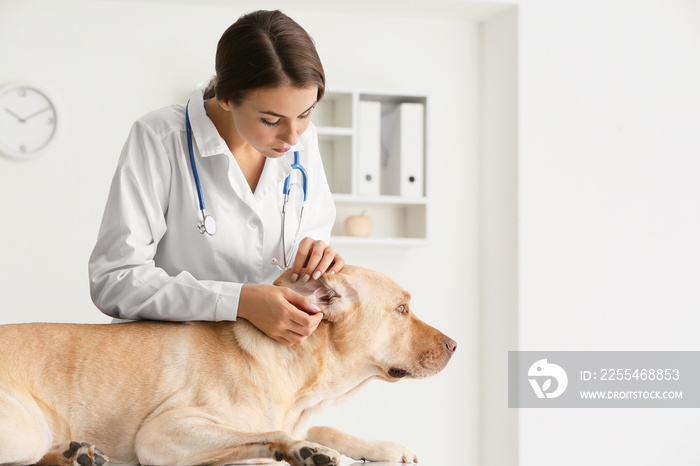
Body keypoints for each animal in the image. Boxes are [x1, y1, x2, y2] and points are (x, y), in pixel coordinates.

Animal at [0, 266, 456, 466]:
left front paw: (386, 448)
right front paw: (301, 451)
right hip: (29, 429)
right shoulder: (162, 435)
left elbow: (325, 427)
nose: (455, 345)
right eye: (402, 309)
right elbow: (267, 435)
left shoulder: (300, 415)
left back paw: (75, 454)